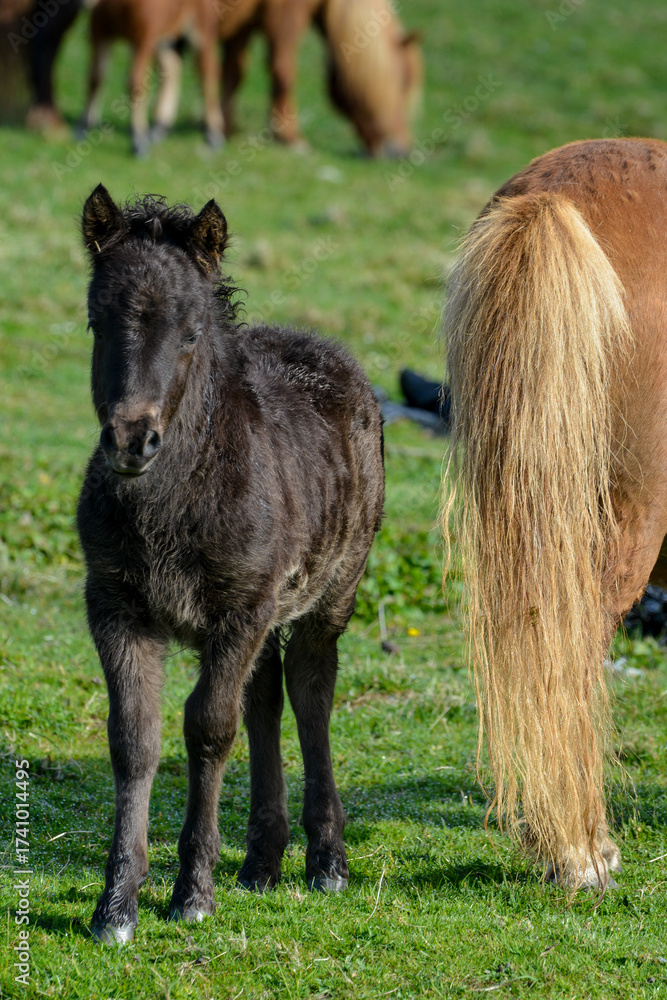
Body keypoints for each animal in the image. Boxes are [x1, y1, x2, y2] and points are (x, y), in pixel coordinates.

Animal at [77, 184, 384, 942]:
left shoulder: (240, 608)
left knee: (310, 689)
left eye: (191, 332)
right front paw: (116, 907)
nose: (132, 439)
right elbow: (135, 737)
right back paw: (262, 862)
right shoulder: (116, 605)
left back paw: (326, 861)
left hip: (329, 590)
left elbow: (209, 728)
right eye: (97, 322)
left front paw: (191, 892)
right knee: (265, 694)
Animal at [81, 0, 224, 156]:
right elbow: (95, 78)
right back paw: (159, 128)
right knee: (172, 66)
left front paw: (139, 141)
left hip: (199, 28)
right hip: (165, 38)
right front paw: (82, 129)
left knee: (207, 70)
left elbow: (135, 84)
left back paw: (213, 135)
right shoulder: (100, 33)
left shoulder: (143, 38)